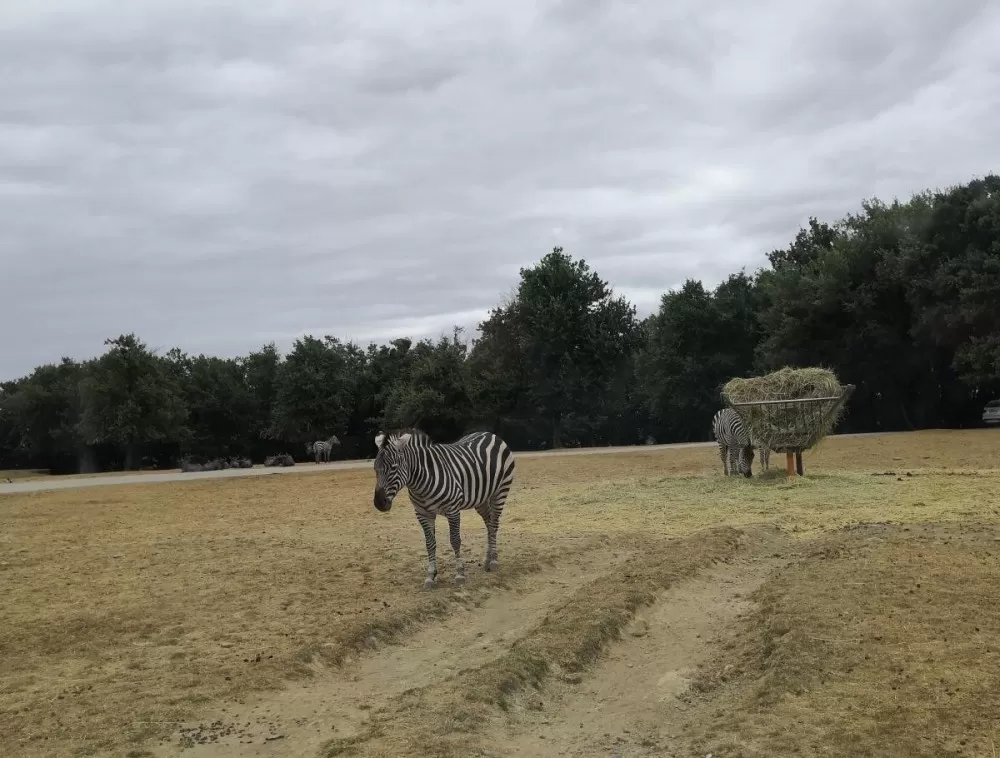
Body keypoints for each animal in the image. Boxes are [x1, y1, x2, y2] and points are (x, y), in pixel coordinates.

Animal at [374, 430, 516, 592]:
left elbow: (455, 540)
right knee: (489, 524)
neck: (420, 484)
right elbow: (430, 543)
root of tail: (490, 434)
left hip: (500, 491)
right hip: (481, 499)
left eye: (394, 467)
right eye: (374, 468)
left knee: (494, 525)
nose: (379, 503)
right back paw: (487, 559)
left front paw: (460, 574)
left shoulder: (453, 510)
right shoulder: (422, 514)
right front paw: (430, 576)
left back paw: (494, 561)